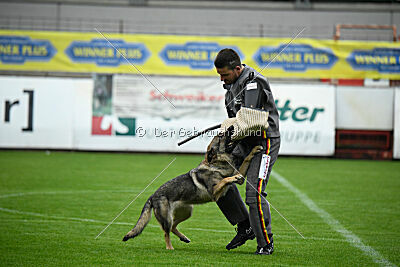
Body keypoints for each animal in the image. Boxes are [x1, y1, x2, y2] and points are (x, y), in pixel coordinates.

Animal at [123, 133, 264, 250]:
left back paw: (184, 238)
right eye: (220, 136)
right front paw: (231, 178)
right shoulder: (214, 193)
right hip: (167, 218)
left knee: (173, 227)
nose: (231, 127)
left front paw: (254, 150)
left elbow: (245, 161)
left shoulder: (238, 177)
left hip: (187, 212)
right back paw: (170, 248)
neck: (215, 166)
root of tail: (152, 196)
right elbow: (225, 180)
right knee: (166, 233)